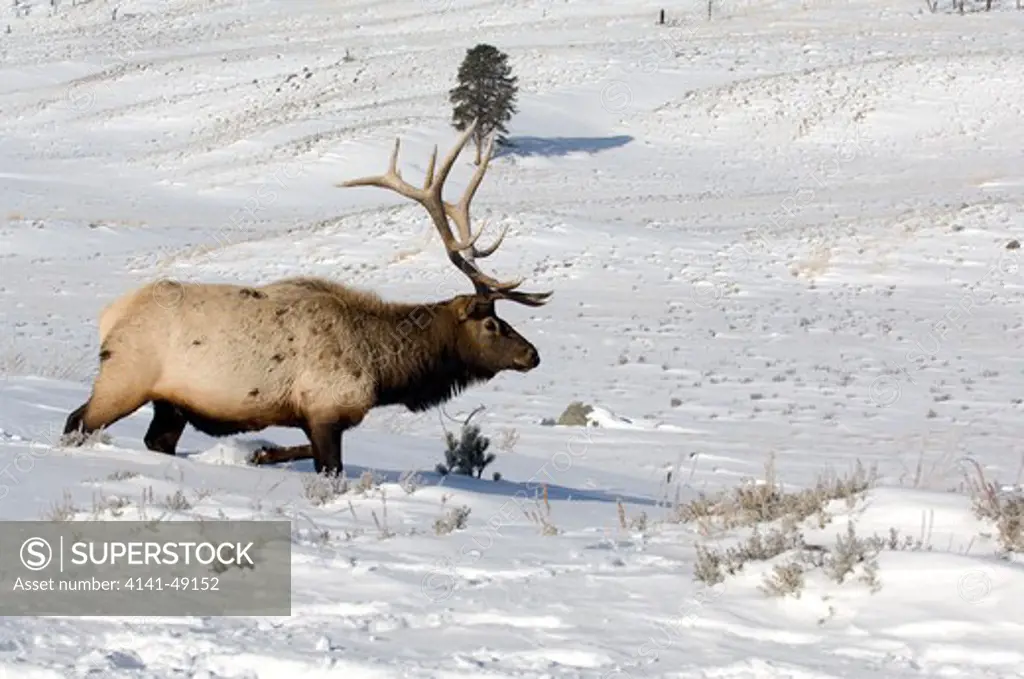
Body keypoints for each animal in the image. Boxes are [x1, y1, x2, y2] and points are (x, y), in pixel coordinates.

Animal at [62, 122, 552, 473]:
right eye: (492, 323)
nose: (533, 354)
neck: (383, 369)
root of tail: (110, 315)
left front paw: (260, 454)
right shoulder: (325, 410)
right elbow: (329, 468)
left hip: (171, 402)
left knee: (156, 440)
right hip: (125, 378)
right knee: (76, 422)